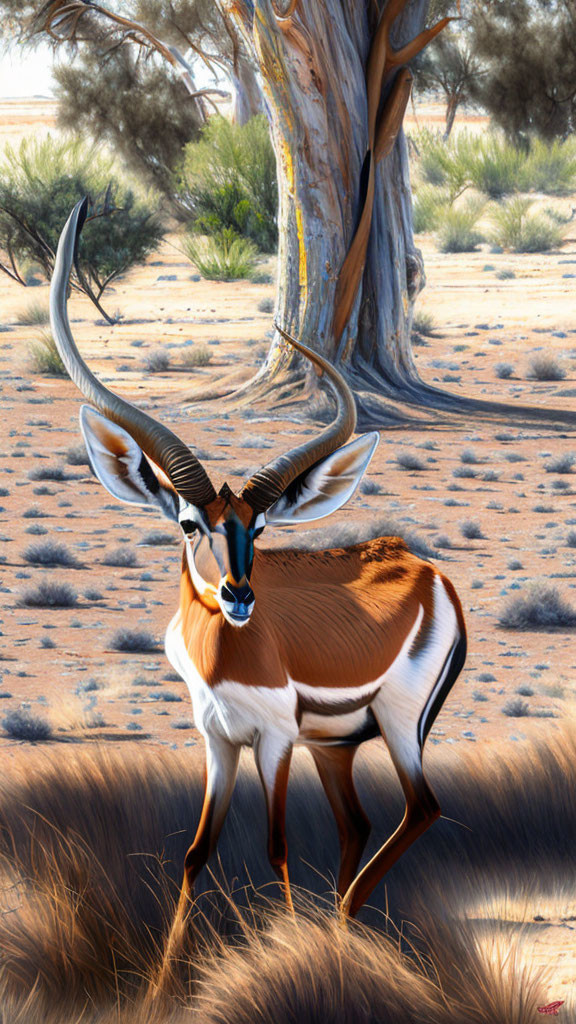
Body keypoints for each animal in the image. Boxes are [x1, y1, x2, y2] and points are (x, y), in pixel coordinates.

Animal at [50, 199, 467, 921]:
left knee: (420, 808)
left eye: (262, 528)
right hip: (334, 745)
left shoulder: (273, 740)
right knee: (356, 823)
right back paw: (340, 921)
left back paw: (341, 923)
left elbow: (276, 848)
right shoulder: (217, 740)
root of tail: (431, 573)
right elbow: (197, 851)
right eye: (190, 524)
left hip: (393, 724)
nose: (239, 596)